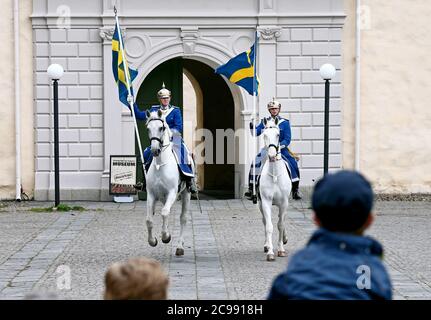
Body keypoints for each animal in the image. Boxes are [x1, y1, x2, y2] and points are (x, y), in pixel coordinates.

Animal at [145, 109, 191, 255]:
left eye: (162, 128)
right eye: (148, 128)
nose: (155, 150)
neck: (160, 164)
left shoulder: (172, 192)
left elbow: (165, 213)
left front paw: (166, 236)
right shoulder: (151, 194)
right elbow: (149, 220)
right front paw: (153, 241)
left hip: (186, 194)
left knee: (183, 218)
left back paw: (180, 246)